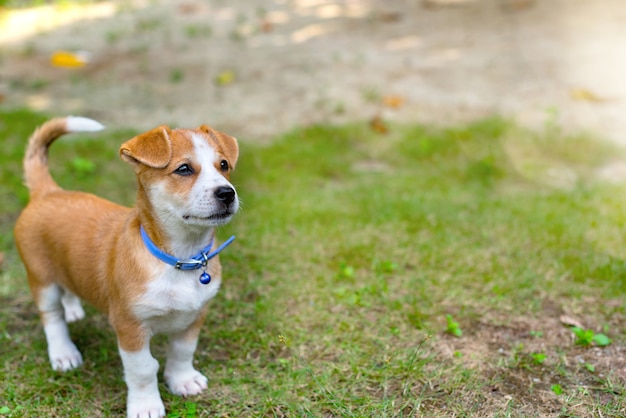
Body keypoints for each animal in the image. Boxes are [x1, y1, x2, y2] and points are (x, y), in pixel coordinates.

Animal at [15, 116, 239, 418]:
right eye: (183, 169)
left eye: (223, 165)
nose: (227, 193)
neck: (180, 259)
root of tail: (48, 192)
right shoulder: (130, 326)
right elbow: (143, 369)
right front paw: (146, 405)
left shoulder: (195, 315)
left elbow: (182, 351)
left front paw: (182, 380)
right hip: (42, 279)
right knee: (52, 317)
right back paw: (64, 353)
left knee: (68, 290)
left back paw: (73, 310)